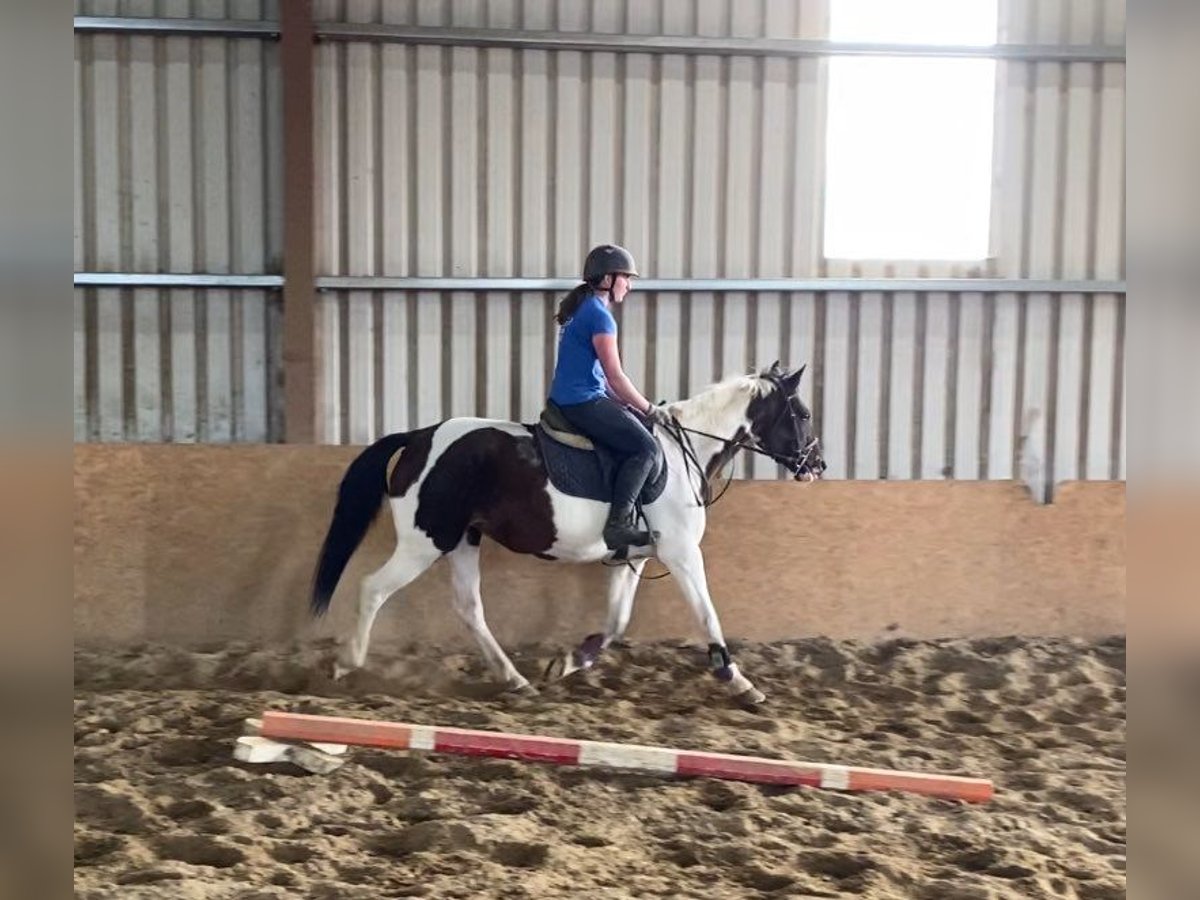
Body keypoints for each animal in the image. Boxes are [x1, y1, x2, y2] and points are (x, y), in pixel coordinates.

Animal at [309, 360, 825, 705]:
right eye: (802, 414)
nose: (816, 465)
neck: (686, 452)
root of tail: (418, 437)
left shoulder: (633, 557)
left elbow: (616, 621)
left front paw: (569, 663)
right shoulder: (681, 553)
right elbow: (707, 614)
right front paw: (738, 680)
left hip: (462, 540)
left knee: (469, 608)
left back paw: (514, 679)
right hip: (424, 541)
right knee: (373, 588)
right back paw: (347, 663)